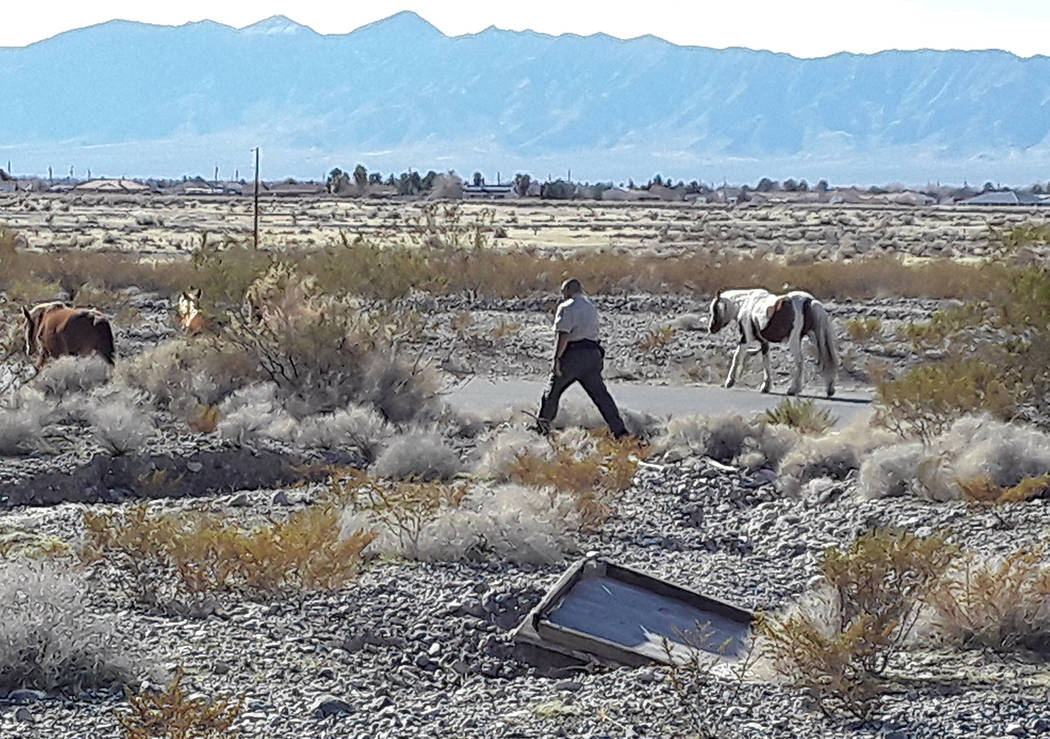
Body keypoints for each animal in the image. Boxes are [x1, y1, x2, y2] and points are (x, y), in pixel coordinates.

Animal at [709, 287, 839, 398]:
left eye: (714, 309)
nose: (711, 328)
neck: (746, 304)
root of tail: (809, 301)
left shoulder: (745, 339)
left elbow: (736, 357)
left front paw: (729, 382)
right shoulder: (764, 342)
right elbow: (766, 362)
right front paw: (765, 387)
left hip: (794, 340)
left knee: (800, 362)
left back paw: (793, 389)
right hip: (815, 337)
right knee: (826, 360)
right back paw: (829, 388)